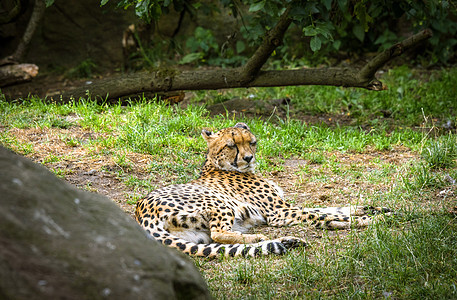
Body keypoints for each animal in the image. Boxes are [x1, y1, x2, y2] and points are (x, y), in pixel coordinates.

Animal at [135, 122, 388, 258]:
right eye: (232, 145)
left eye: (251, 142)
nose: (248, 157)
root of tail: (140, 212)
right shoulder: (279, 212)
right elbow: (322, 214)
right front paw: (370, 220)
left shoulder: (285, 207)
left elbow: (332, 208)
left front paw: (373, 209)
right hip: (219, 202)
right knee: (219, 233)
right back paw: (258, 236)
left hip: (198, 234)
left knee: (218, 242)